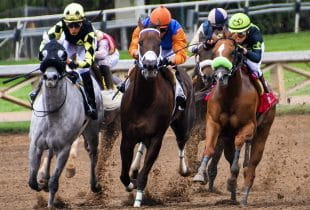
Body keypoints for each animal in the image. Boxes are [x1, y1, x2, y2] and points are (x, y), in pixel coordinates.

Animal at [27, 40, 104, 208]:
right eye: (42, 54)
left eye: (63, 56)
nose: (50, 77)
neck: (52, 114)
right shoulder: (35, 145)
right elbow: (32, 182)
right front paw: (41, 182)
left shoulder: (64, 149)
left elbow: (54, 182)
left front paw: (50, 205)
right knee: (50, 153)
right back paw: (44, 177)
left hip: (92, 131)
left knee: (93, 153)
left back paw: (94, 185)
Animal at [118, 25, 194, 207]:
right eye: (140, 42)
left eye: (159, 43)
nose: (150, 65)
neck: (144, 101)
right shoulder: (127, 136)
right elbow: (123, 174)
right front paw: (130, 183)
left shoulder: (156, 137)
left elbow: (144, 173)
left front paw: (138, 199)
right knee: (141, 147)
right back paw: (134, 168)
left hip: (183, 123)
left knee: (181, 142)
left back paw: (184, 169)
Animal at [194, 34, 276, 205]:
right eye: (214, 53)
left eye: (232, 52)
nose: (219, 76)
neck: (230, 95)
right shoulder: (213, 123)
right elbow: (209, 147)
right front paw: (199, 174)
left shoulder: (248, 126)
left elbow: (239, 149)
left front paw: (232, 179)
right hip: (227, 138)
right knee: (230, 156)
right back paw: (232, 196)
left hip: (263, 131)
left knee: (251, 165)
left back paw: (243, 195)